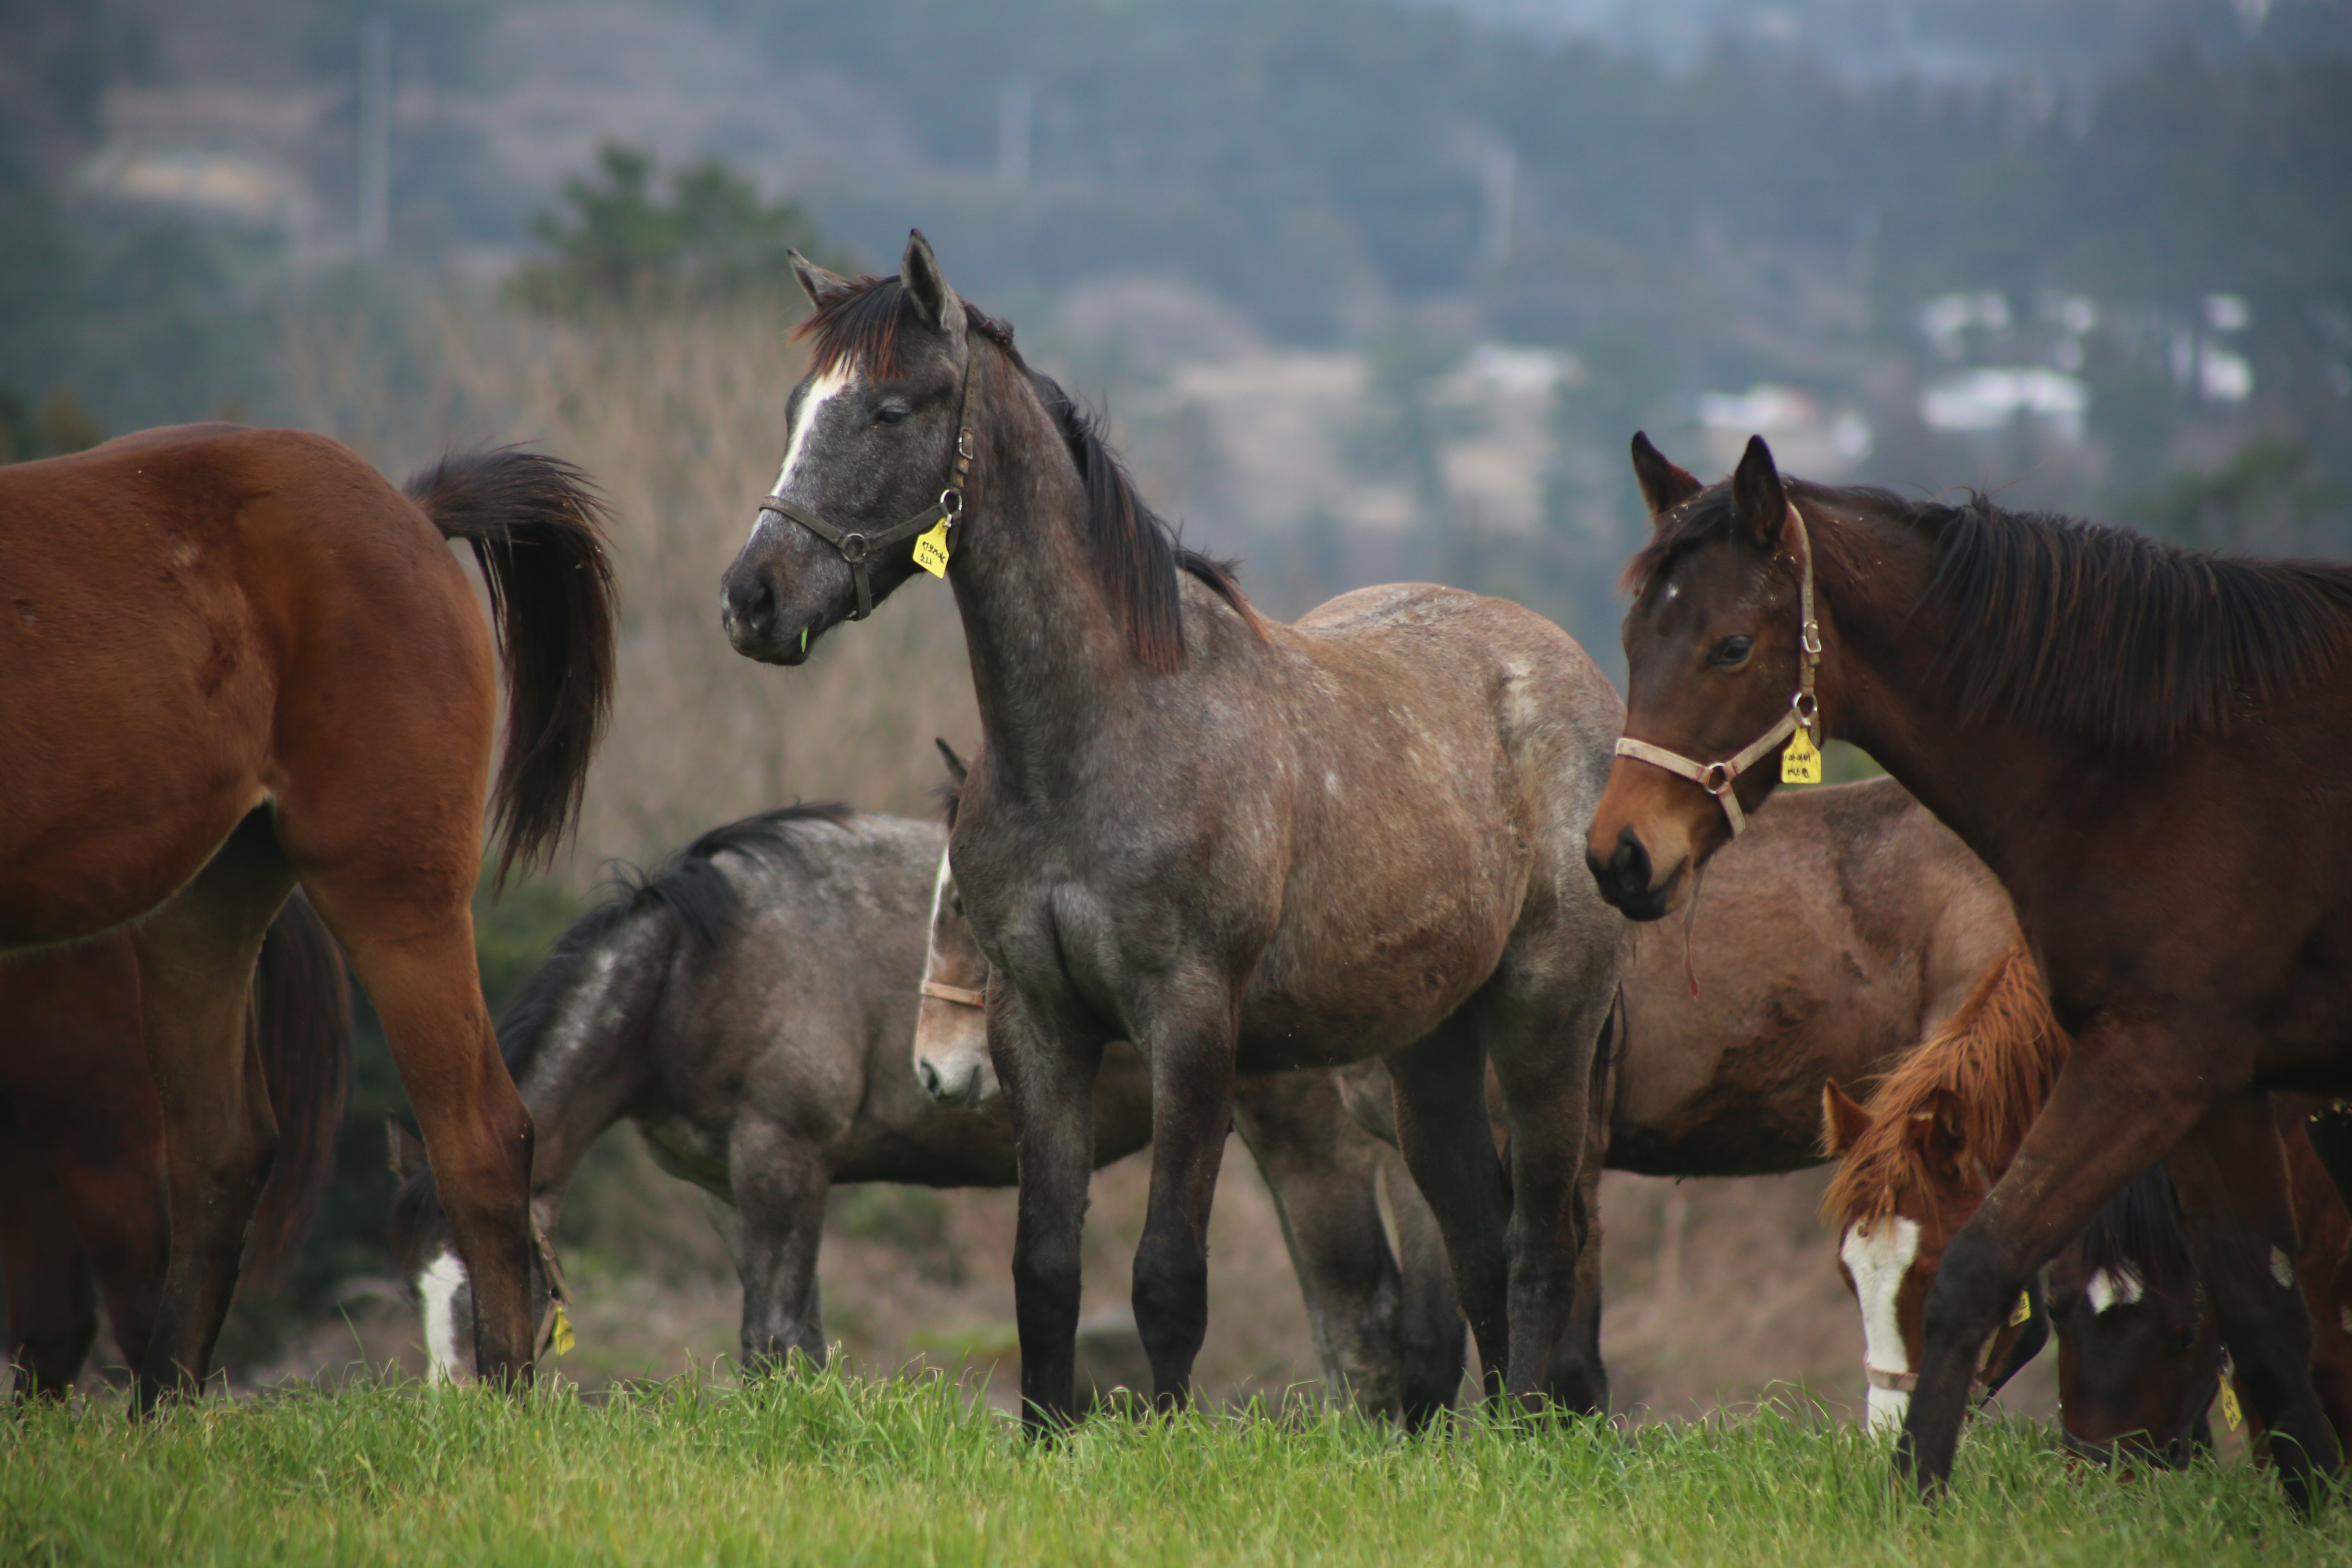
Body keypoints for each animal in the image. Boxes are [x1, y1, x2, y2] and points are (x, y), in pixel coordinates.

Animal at [385, 804, 1449, 1420]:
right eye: (419, 1289)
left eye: (494, 1282)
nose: (461, 1417)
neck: (697, 968)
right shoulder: (728, 1190)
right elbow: (794, 1341)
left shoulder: (783, 1160)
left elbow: (769, 1336)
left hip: (1300, 1137)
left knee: (1359, 1313)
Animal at [719, 236, 1637, 1439]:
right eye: (797, 407)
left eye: (888, 408)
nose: (751, 598)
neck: (1110, 728)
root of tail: (1588, 687)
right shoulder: (1039, 1025)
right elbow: (1045, 1267)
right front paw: (1045, 1438)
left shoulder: (1193, 1023)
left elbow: (1167, 1274)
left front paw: (1159, 1439)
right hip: (1430, 1051)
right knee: (1482, 1243)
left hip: (1544, 1022)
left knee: (1540, 1243)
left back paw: (1530, 1434)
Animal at [1590, 425, 2352, 1504]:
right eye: (1630, 641)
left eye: (1730, 645)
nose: (1617, 854)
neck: (2153, 763)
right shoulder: (2221, 1088)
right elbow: (2265, 1318)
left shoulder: (2152, 1062)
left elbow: (1984, 1264)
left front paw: (1913, 1491)